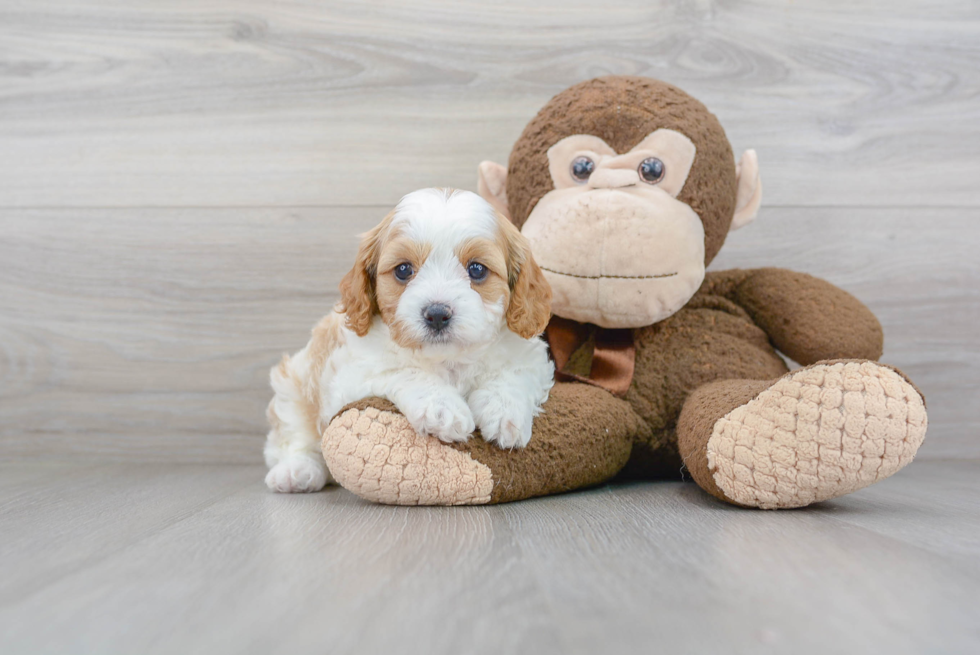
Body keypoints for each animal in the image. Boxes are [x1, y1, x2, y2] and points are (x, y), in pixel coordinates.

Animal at [264, 188, 556, 492]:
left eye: (477, 269)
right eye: (403, 270)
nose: (437, 314)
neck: (448, 358)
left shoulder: (531, 359)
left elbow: (514, 376)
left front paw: (504, 413)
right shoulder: (353, 374)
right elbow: (405, 371)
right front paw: (443, 409)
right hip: (295, 382)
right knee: (293, 435)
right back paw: (296, 471)